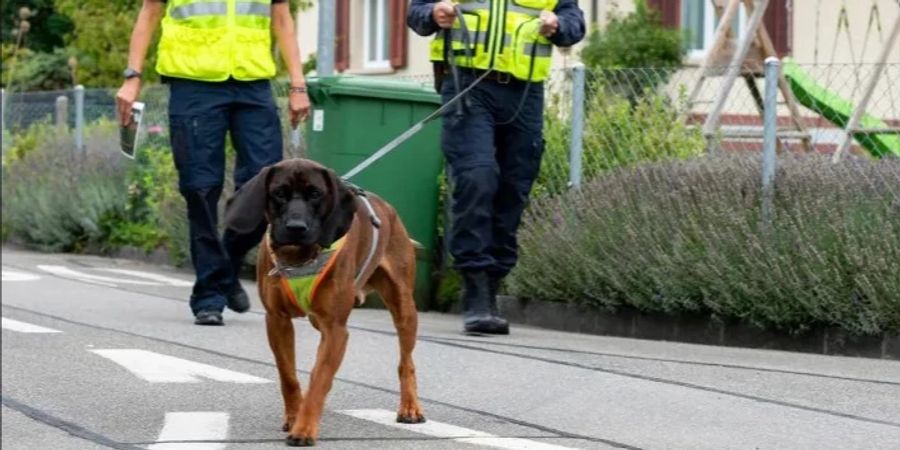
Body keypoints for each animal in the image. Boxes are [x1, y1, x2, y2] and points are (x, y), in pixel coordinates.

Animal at [223, 159, 424, 446]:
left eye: (316, 194)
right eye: (279, 192)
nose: (296, 227)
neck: (299, 257)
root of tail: (388, 209)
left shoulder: (336, 327)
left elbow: (319, 379)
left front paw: (305, 427)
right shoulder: (277, 321)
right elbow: (288, 375)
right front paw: (294, 415)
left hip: (404, 307)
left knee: (406, 361)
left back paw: (410, 407)